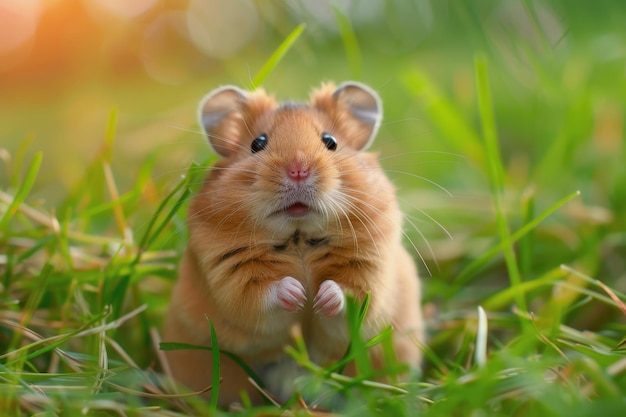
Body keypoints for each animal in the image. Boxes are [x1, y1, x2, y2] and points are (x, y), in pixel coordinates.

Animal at [163, 81, 422, 406]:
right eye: (258, 143)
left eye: (330, 141)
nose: (298, 170)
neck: (299, 237)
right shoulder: (229, 277)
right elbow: (262, 296)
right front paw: (298, 295)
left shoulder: (370, 269)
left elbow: (351, 295)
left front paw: (320, 298)